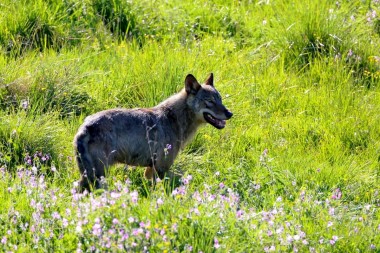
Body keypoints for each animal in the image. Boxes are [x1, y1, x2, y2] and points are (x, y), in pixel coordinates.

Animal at [72, 73, 232, 192]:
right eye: (210, 101)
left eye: (220, 100)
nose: (230, 114)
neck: (174, 118)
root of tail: (85, 127)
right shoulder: (161, 168)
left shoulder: (150, 170)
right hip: (98, 175)